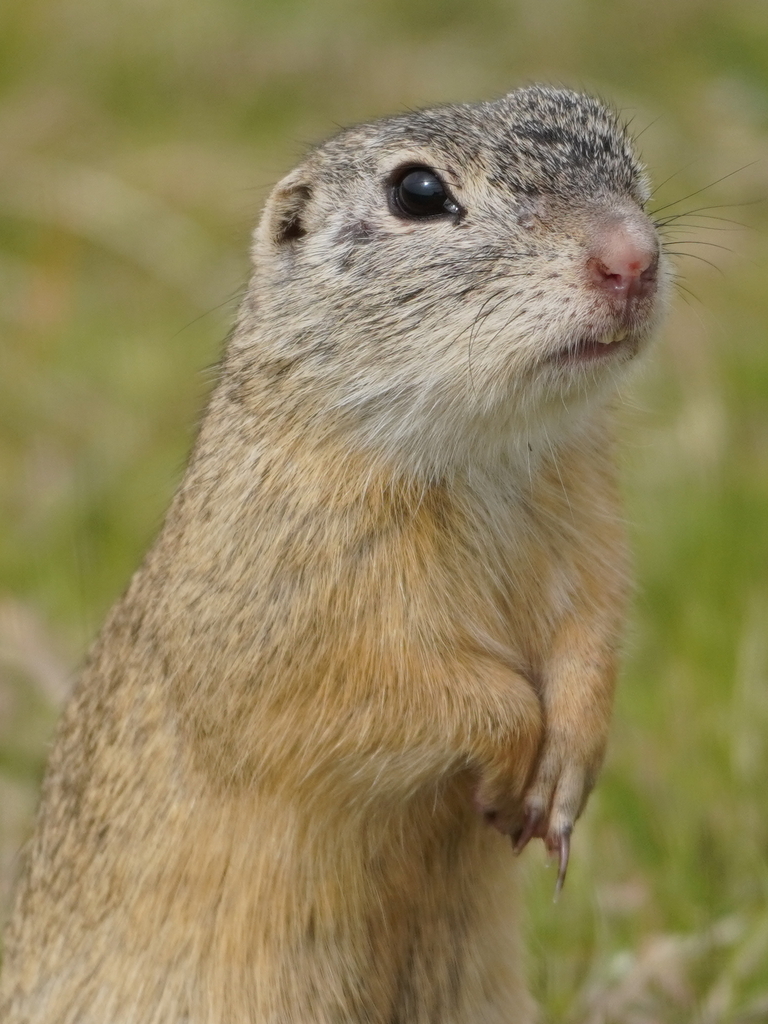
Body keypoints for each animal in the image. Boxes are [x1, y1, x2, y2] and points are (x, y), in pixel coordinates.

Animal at [0, 85, 667, 1023]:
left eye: (613, 141)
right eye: (418, 192)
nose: (633, 257)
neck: (486, 455)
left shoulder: (593, 542)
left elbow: (589, 643)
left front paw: (566, 770)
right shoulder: (299, 616)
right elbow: (394, 692)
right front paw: (514, 755)